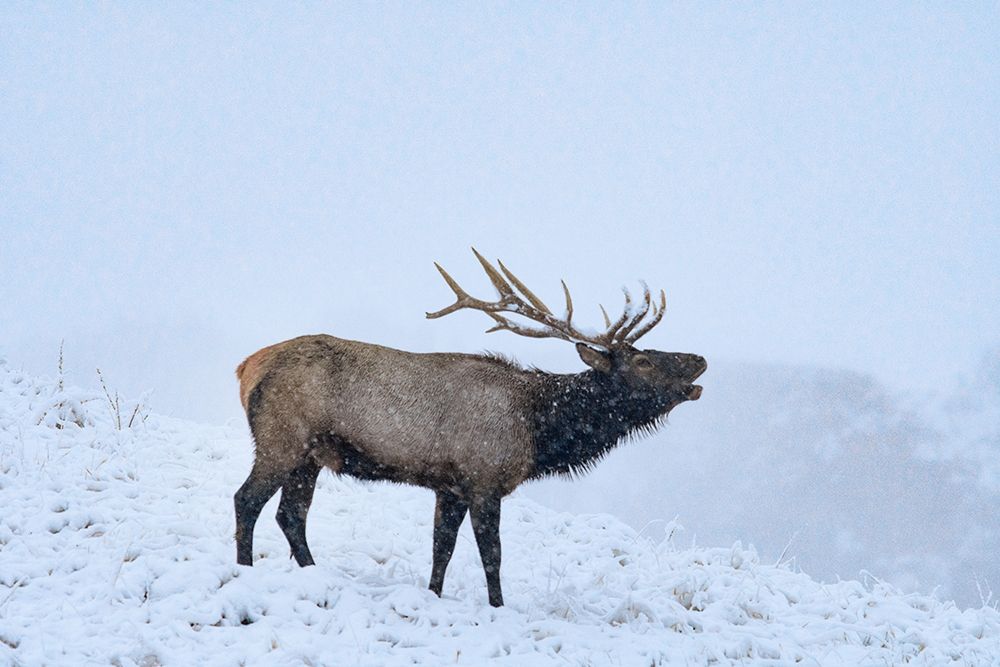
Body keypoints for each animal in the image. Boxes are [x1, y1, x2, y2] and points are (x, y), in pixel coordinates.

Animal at [234, 249, 706, 607]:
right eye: (642, 360)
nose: (699, 358)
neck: (537, 429)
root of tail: (246, 367)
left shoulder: (450, 486)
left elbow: (441, 549)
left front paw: (434, 595)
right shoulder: (484, 479)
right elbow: (491, 555)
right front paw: (498, 606)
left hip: (310, 456)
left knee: (291, 514)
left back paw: (313, 573)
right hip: (281, 438)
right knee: (248, 500)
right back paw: (244, 569)